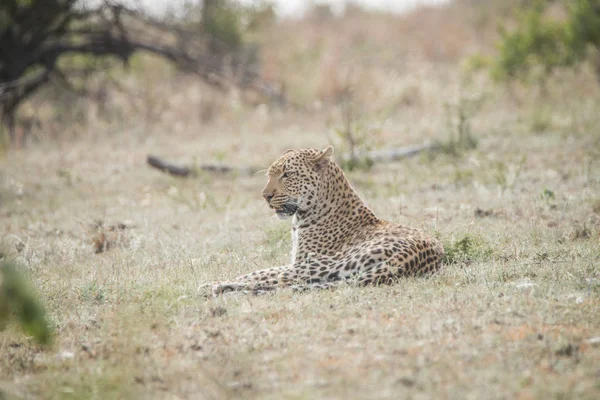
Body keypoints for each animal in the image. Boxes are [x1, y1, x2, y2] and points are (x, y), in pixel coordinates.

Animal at [209, 145, 442, 296]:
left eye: (287, 174)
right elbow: (259, 271)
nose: (265, 196)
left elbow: (260, 273)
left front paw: (218, 283)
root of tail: (408, 259)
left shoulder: (301, 261)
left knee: (280, 280)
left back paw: (217, 288)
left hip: (323, 264)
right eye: (270, 175)